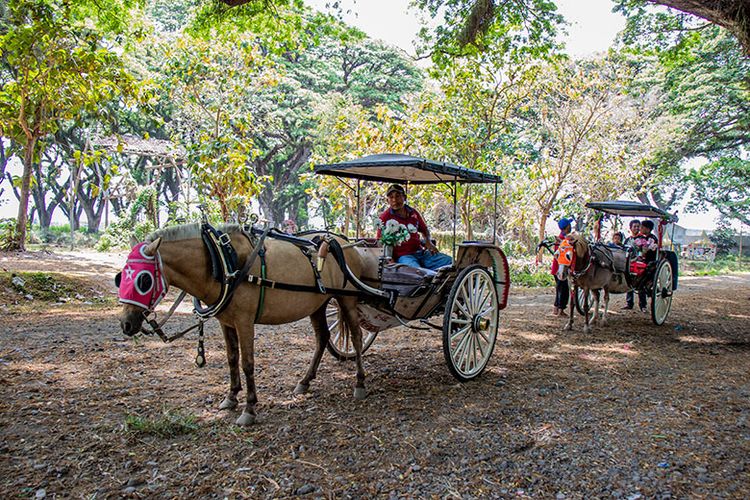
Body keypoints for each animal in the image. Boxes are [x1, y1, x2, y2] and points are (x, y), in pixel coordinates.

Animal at [117, 226, 370, 426]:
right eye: (120, 277)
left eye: (143, 280)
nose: (126, 324)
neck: (222, 262)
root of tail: (344, 242)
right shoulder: (226, 322)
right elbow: (232, 359)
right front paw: (231, 397)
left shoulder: (244, 322)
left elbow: (247, 363)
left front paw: (249, 409)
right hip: (319, 303)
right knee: (323, 337)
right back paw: (305, 382)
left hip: (347, 299)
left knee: (357, 336)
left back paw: (359, 382)